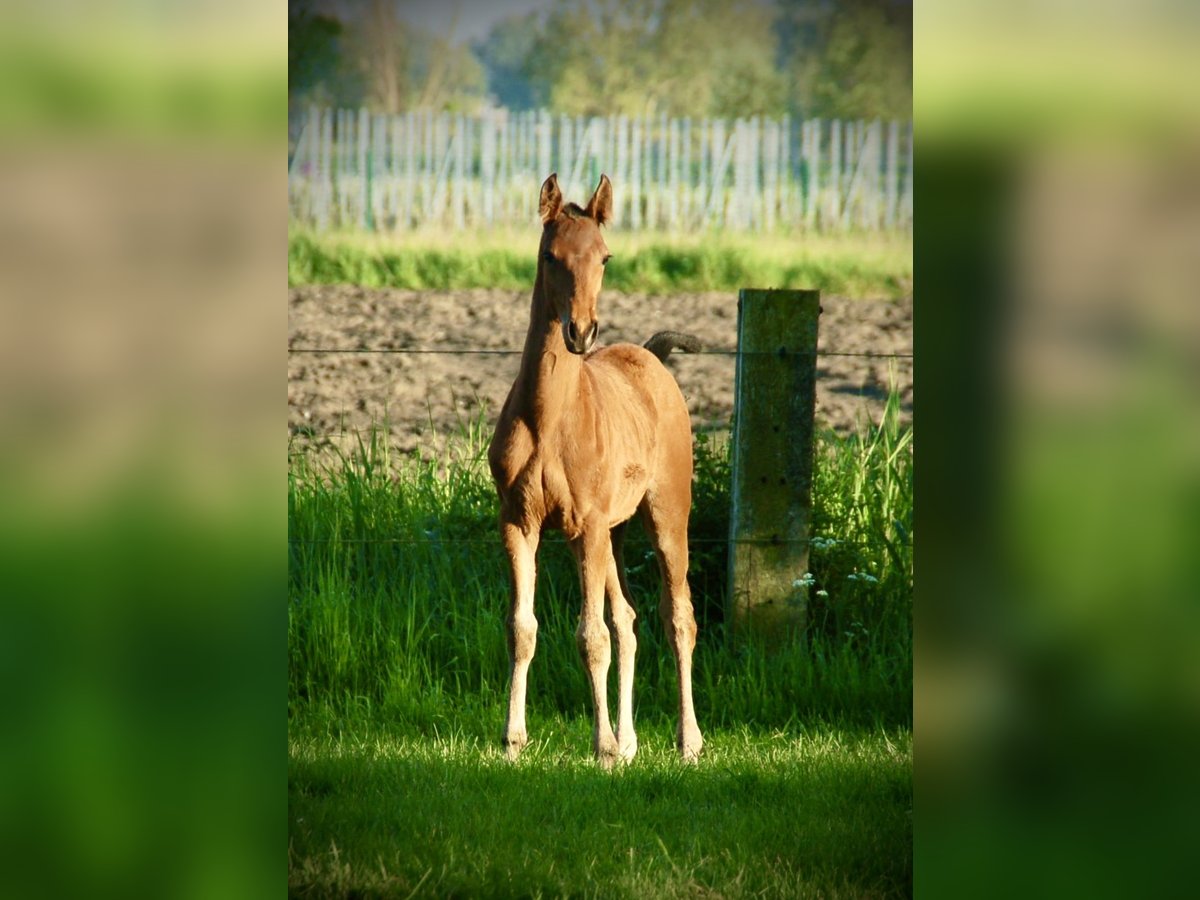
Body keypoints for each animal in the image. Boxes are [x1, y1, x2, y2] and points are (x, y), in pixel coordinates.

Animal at [487, 172, 700, 763]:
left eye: (605, 257)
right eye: (550, 255)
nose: (580, 332)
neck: (549, 419)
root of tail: (654, 357)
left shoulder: (585, 526)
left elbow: (591, 636)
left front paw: (600, 745)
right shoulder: (519, 522)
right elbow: (523, 628)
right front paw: (513, 740)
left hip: (665, 514)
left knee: (678, 616)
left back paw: (687, 740)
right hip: (615, 531)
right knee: (628, 619)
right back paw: (630, 742)